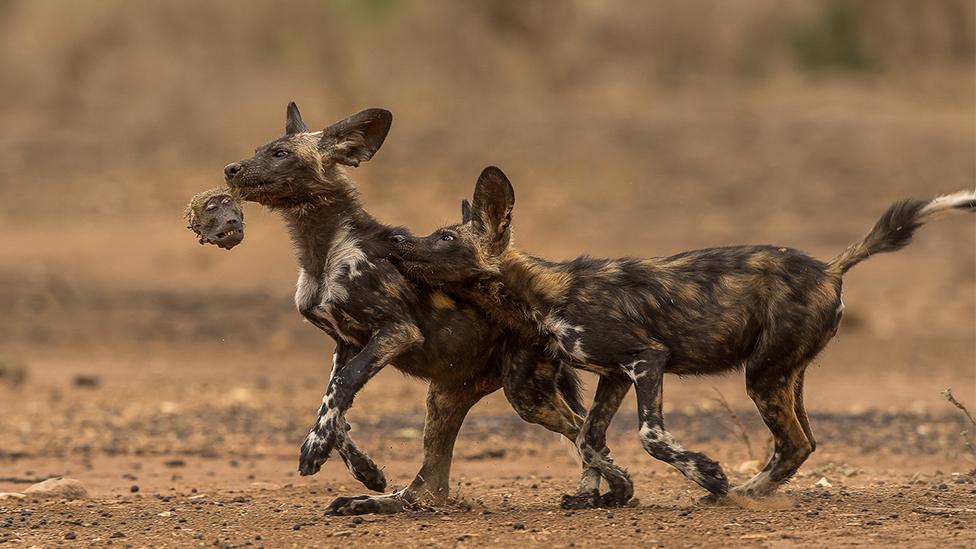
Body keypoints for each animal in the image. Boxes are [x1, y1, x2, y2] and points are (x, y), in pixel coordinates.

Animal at [220, 103, 624, 512]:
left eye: (280, 154)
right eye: (258, 150)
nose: (230, 169)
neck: (324, 252)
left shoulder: (396, 332)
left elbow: (343, 386)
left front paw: (315, 450)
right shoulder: (347, 343)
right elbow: (332, 402)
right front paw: (363, 468)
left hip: (524, 394)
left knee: (582, 431)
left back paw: (605, 491)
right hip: (446, 395)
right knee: (430, 486)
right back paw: (369, 501)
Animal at [390, 165, 976, 498]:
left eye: (444, 237)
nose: (396, 240)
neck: (543, 294)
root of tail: (830, 269)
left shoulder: (647, 359)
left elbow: (649, 436)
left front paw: (706, 473)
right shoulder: (613, 375)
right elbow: (588, 439)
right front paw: (603, 492)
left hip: (762, 376)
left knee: (791, 443)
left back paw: (735, 492)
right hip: (786, 374)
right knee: (804, 441)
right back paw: (751, 490)